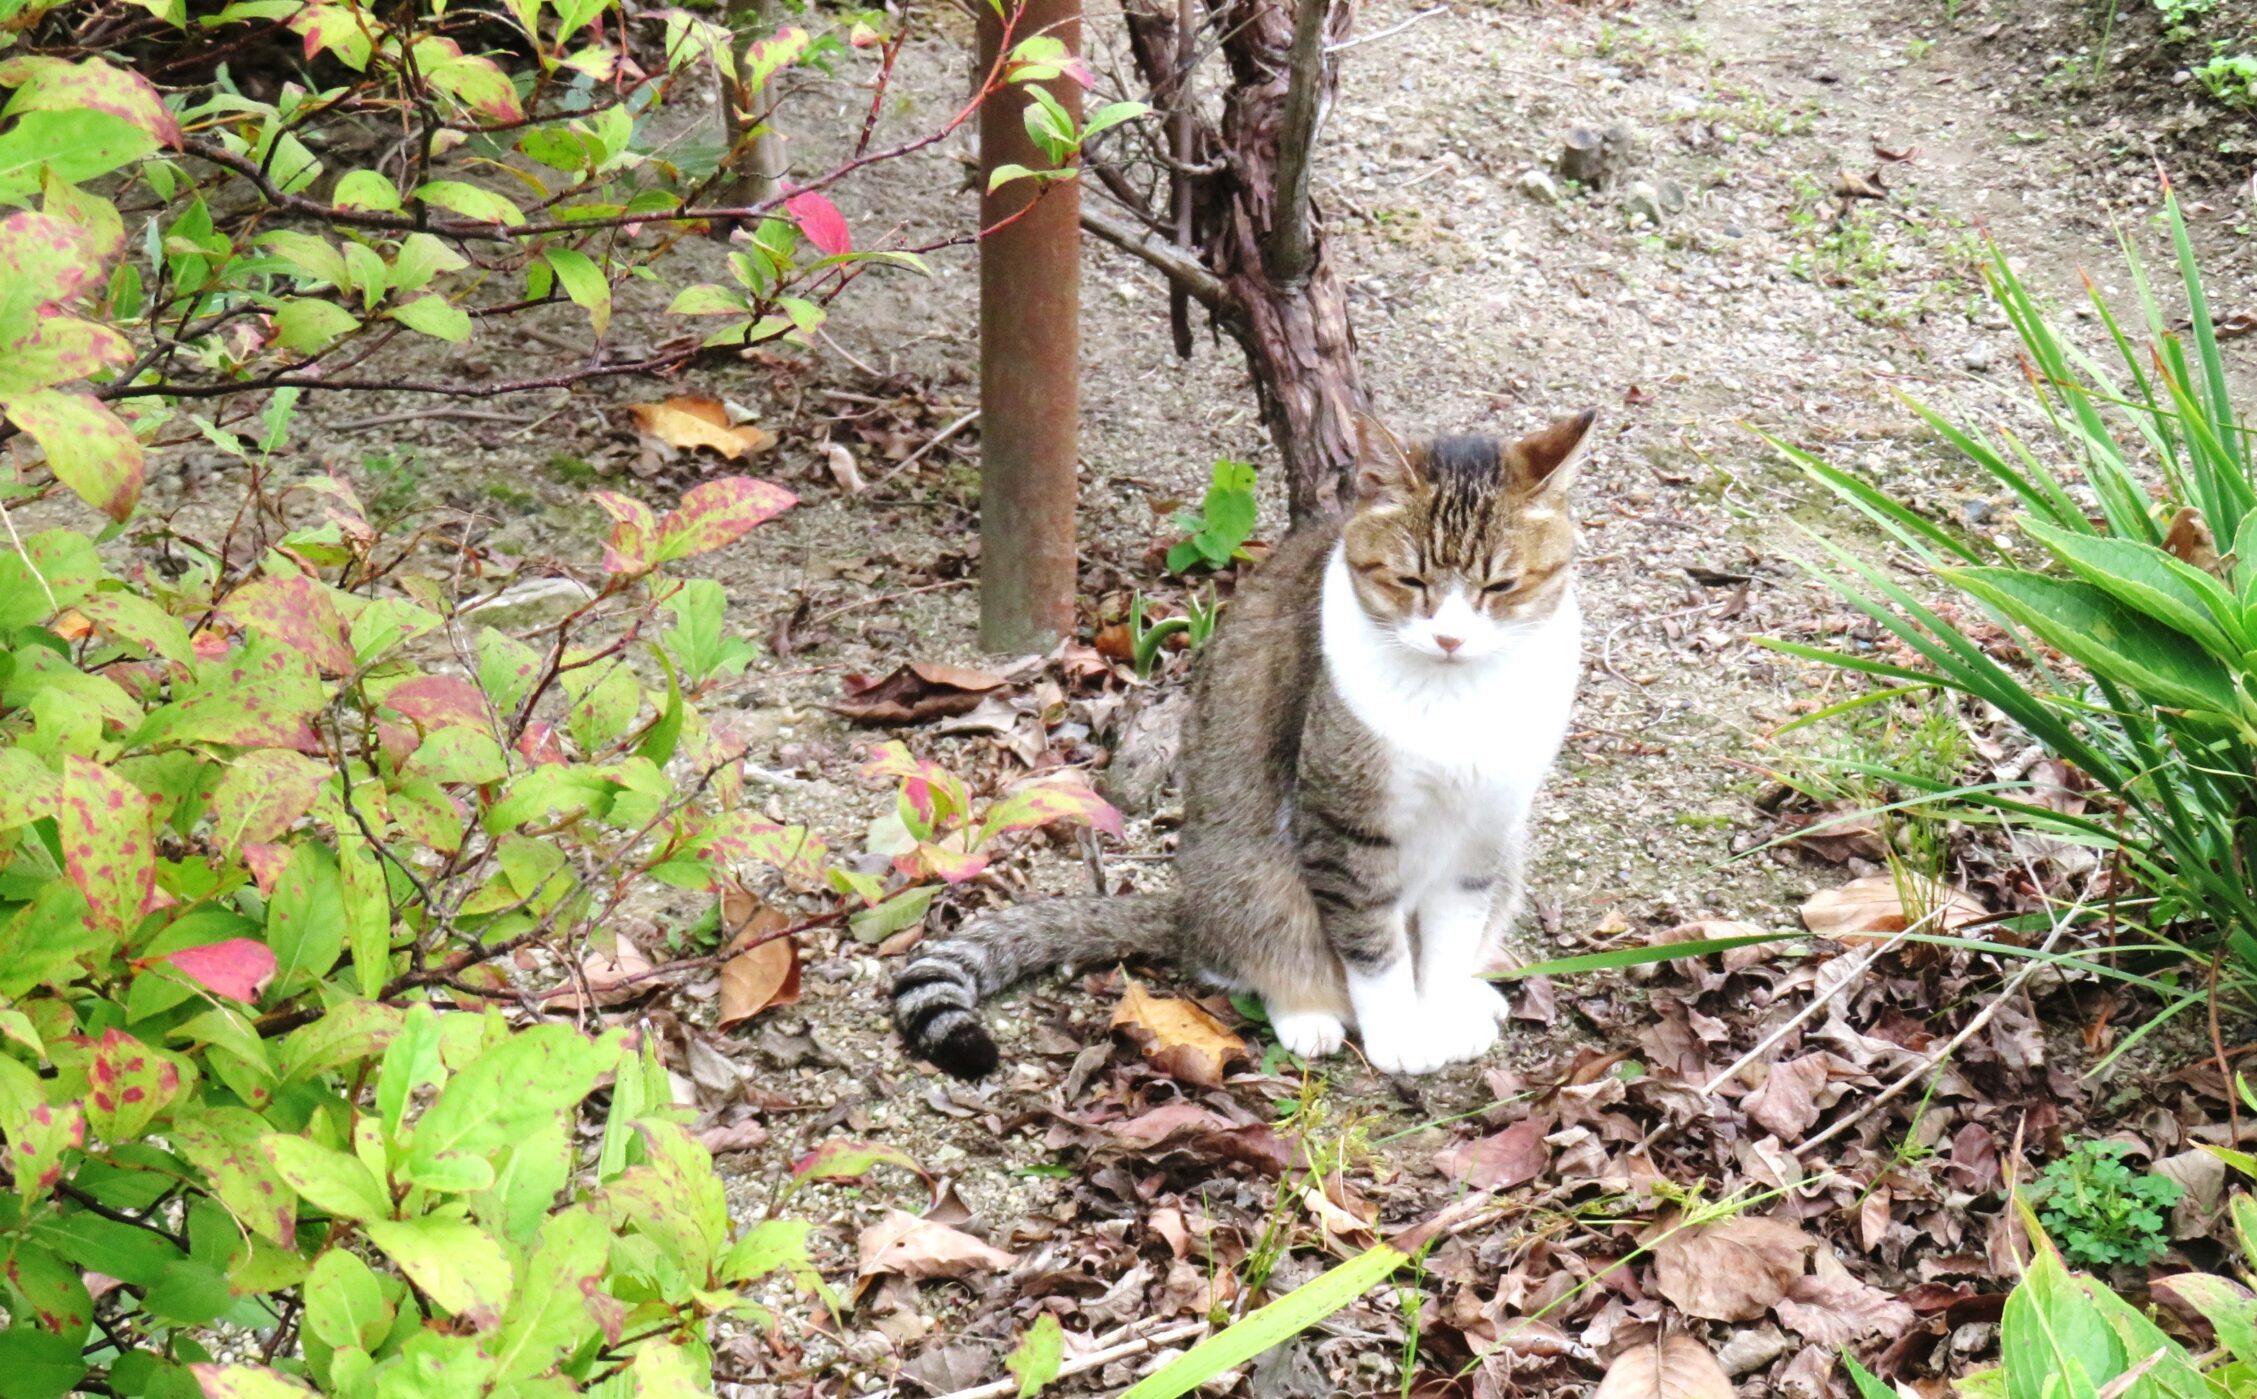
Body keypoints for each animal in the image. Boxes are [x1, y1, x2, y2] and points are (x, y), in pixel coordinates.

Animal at [889, 410, 1597, 1078]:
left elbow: (1449, 943)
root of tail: (1189, 910)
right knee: (1250, 958)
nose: (1450, 638)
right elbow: (1372, 945)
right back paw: (1307, 1015)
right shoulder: (1341, 825)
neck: (1454, 698)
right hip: (1257, 880)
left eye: (1500, 587)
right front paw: (1400, 1033)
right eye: (1411, 581)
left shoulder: (1484, 830)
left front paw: (1443, 1013)